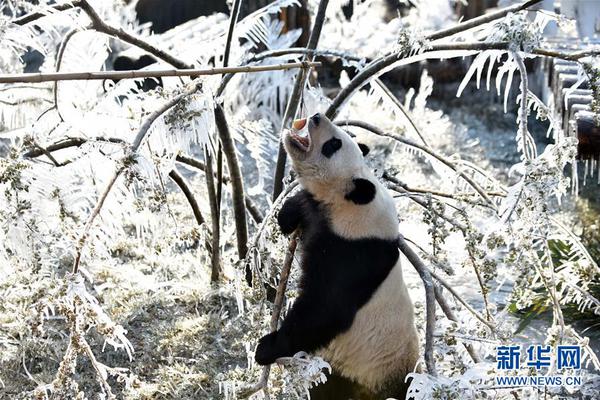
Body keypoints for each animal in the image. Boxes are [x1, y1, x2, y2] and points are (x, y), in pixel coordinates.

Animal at [255, 113, 420, 400]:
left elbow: (323, 310)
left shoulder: (351, 254)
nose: (317, 116)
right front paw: (287, 213)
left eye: (333, 145)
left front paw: (267, 347)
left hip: (365, 372)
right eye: (343, 138)